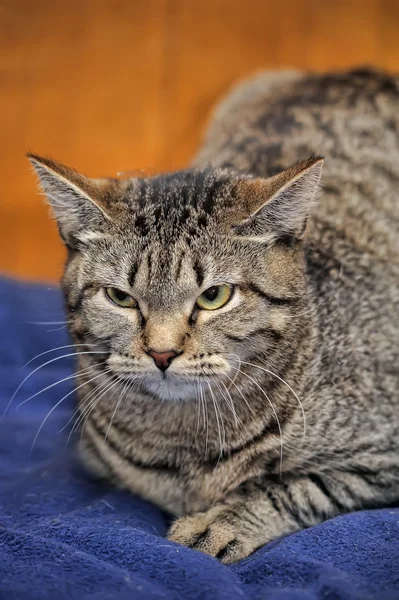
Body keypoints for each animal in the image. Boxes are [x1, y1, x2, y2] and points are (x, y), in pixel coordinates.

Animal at [28, 68, 399, 564]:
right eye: (121, 297)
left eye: (214, 297)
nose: (161, 352)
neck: (185, 444)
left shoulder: (380, 458)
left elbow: (292, 486)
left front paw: (220, 522)